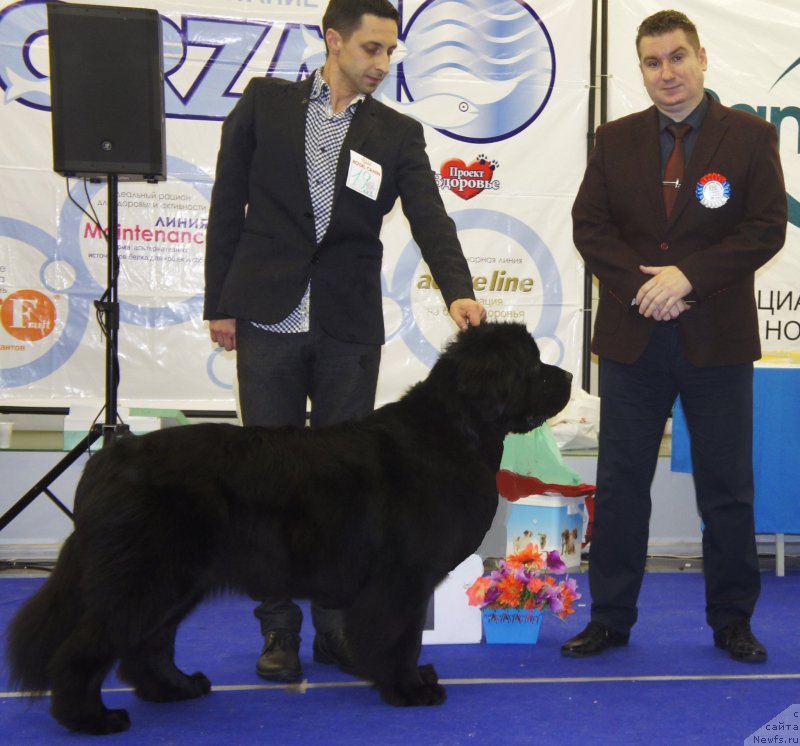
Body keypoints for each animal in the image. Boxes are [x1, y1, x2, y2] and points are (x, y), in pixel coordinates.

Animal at [4, 322, 568, 732]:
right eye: (531, 365)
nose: (566, 378)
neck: (460, 430)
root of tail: (111, 455)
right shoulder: (402, 579)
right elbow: (401, 637)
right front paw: (410, 689)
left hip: (177, 580)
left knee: (147, 644)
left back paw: (175, 689)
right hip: (146, 576)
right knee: (89, 645)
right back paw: (89, 718)